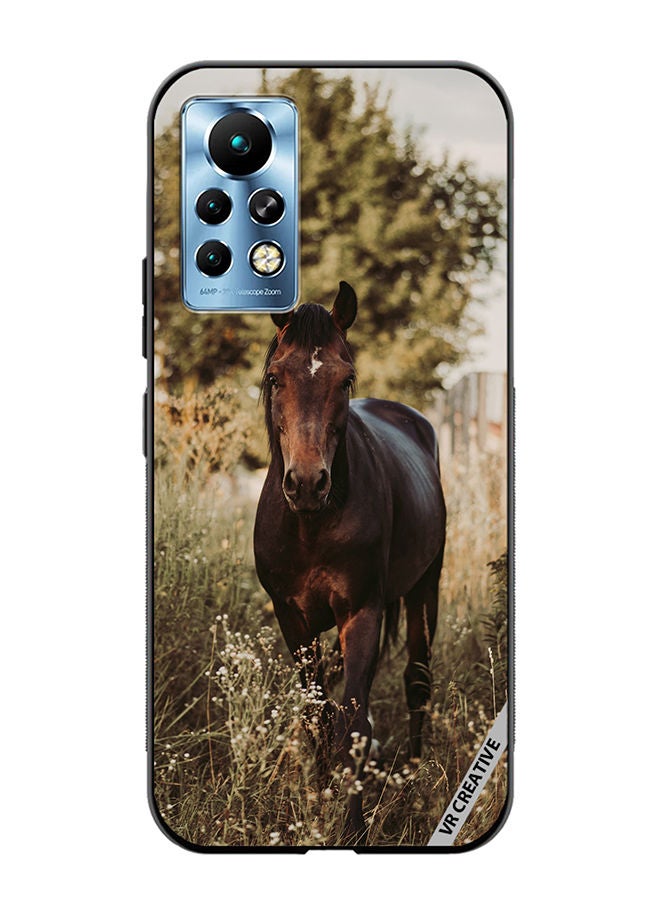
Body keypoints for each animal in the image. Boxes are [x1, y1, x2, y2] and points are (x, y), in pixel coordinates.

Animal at [253, 281, 446, 841]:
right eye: (274, 377)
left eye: (346, 378)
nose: (307, 483)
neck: (311, 524)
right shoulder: (292, 620)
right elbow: (317, 716)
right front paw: (319, 802)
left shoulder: (362, 613)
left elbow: (354, 724)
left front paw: (353, 829)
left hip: (425, 588)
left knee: (417, 681)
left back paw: (413, 779)